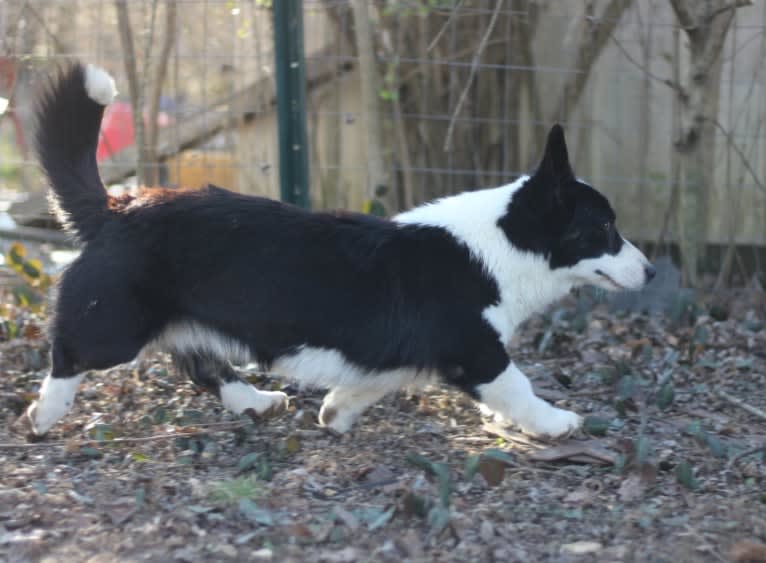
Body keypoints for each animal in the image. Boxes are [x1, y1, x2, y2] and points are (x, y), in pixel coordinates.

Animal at [27, 64, 656, 438]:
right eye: (605, 228)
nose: (651, 272)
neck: (503, 242)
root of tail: (117, 207)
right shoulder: (476, 353)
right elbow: (518, 389)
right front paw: (558, 422)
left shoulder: (391, 354)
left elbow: (367, 384)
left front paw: (335, 413)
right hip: (114, 327)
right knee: (69, 352)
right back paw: (44, 413)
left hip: (186, 322)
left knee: (201, 365)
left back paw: (257, 401)